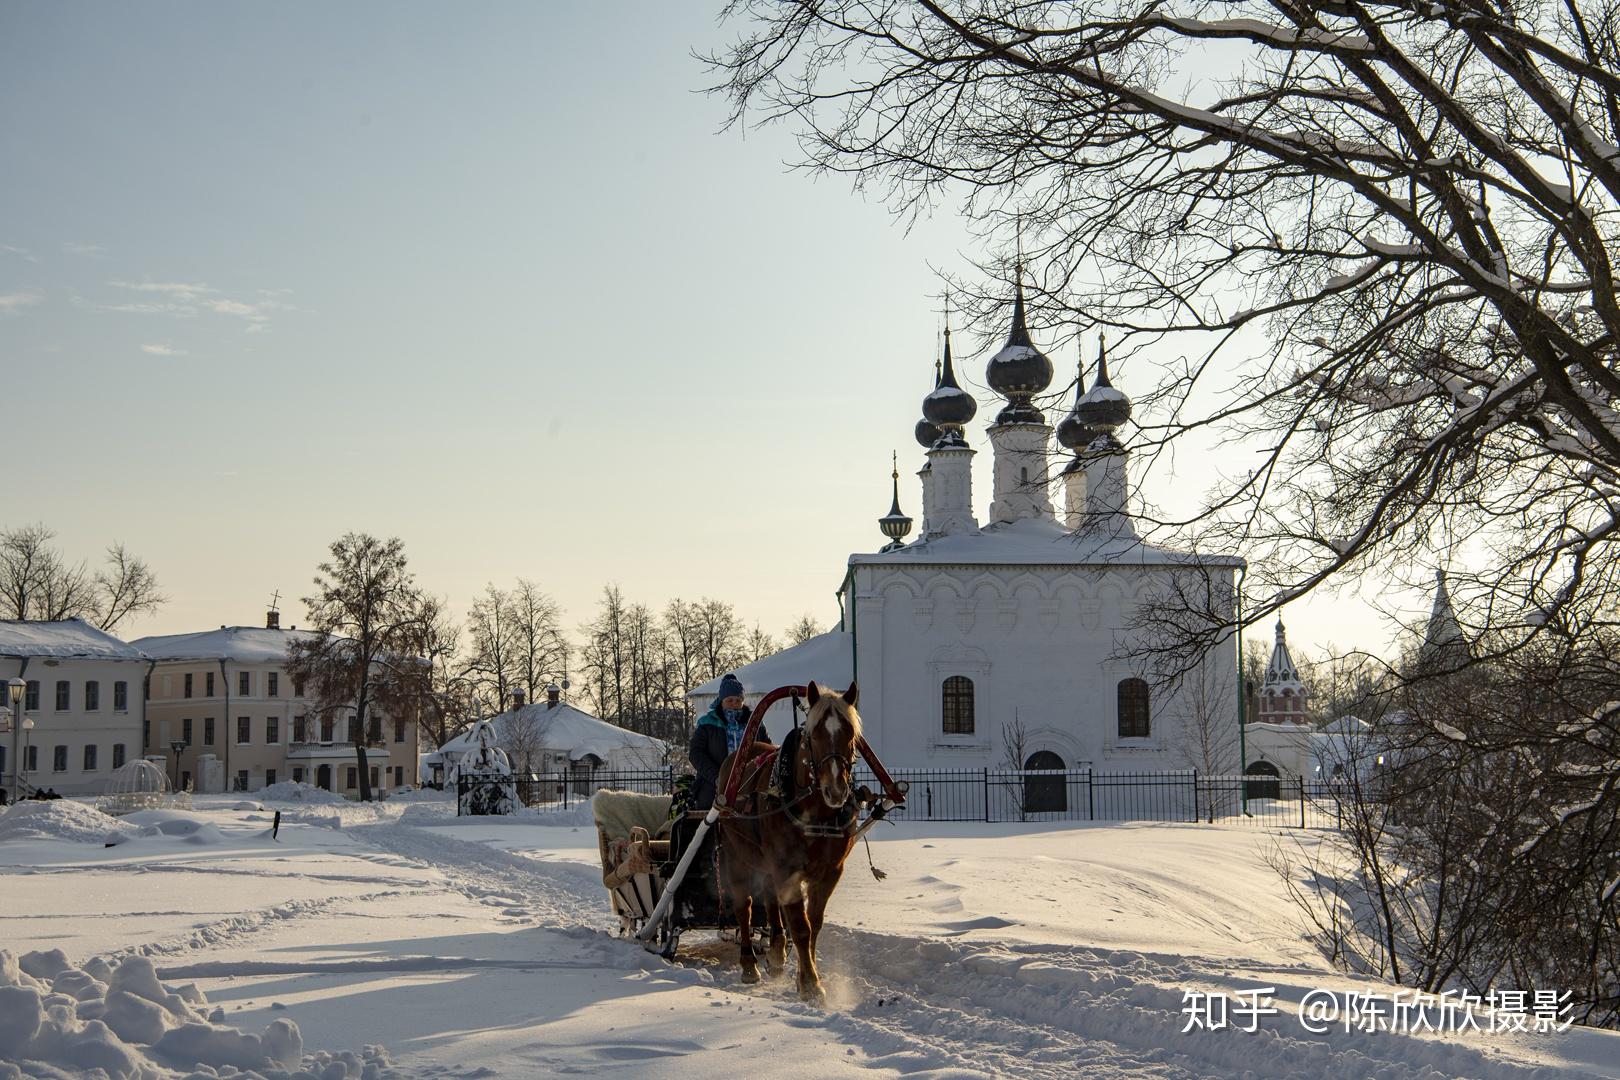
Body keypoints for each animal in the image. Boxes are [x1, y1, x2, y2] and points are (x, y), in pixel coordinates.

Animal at [719, 680, 861, 1003]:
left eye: (851, 733)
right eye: (813, 734)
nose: (836, 790)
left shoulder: (830, 871)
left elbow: (814, 923)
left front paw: (802, 974)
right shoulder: (787, 868)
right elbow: (801, 926)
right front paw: (810, 983)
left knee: (770, 900)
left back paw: (775, 952)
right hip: (736, 855)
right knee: (744, 907)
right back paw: (749, 964)